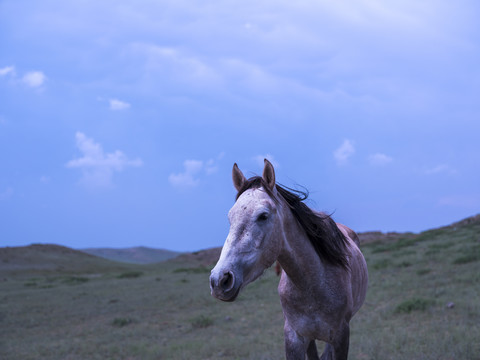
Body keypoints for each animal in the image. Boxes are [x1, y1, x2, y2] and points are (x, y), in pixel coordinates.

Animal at [209, 161, 368, 360]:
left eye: (263, 216)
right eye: (230, 217)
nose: (219, 280)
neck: (314, 285)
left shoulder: (341, 336)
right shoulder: (294, 337)